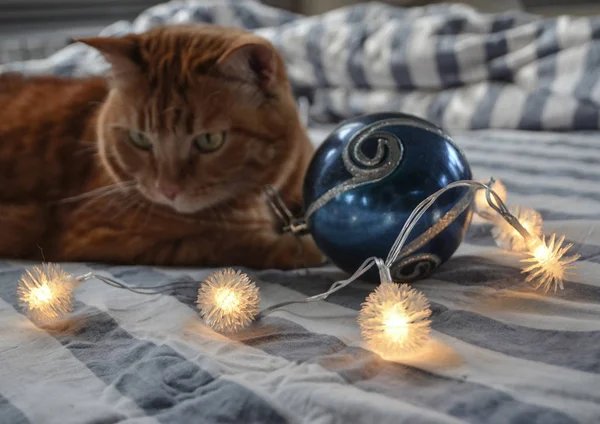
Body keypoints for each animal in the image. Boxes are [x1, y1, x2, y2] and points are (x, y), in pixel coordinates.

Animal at [0, 25, 324, 268]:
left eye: (209, 140)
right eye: (140, 138)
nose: (167, 189)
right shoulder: (98, 234)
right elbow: (221, 241)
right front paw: (302, 249)